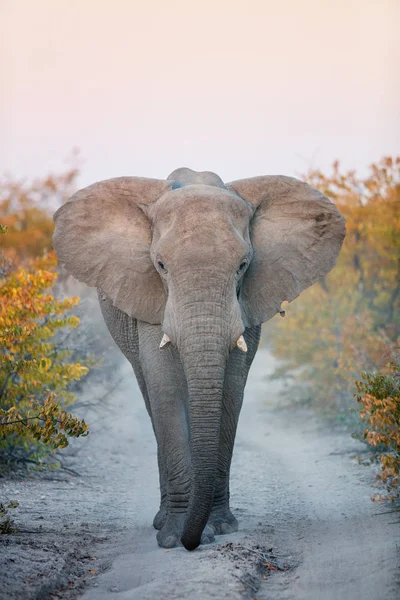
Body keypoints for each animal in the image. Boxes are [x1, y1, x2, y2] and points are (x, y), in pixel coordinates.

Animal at [52, 166, 346, 552]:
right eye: (160, 265)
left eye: (243, 265)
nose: (192, 542)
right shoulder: (151, 299)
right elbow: (165, 390)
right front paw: (173, 536)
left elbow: (231, 392)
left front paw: (220, 527)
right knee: (150, 399)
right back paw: (161, 520)